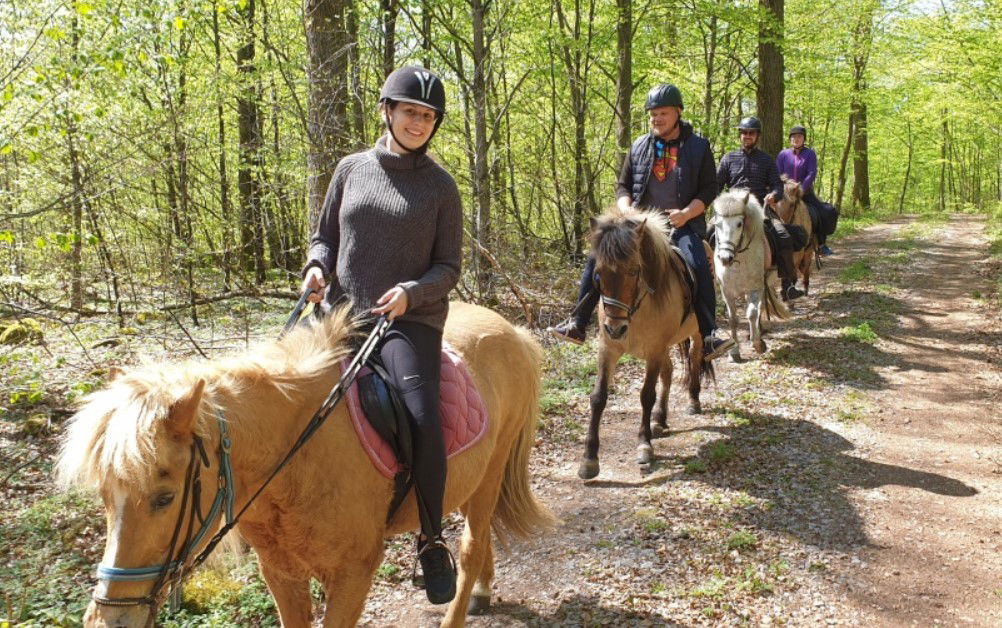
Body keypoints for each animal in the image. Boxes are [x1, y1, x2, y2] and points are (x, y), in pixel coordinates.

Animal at [56, 302, 557, 624]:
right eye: (106, 499)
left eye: (164, 498)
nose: (109, 620)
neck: (294, 460)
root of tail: (514, 332)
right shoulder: (280, 572)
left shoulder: (354, 573)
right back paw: (483, 593)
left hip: (491, 473)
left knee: (471, 546)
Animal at [581, 209, 713, 478]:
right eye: (598, 273)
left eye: (634, 271)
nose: (615, 328)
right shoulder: (608, 349)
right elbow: (598, 397)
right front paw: (589, 459)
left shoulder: (653, 351)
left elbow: (646, 395)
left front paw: (644, 445)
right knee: (669, 372)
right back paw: (660, 419)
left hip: (693, 334)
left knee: (694, 359)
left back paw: (693, 400)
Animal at [713, 189, 789, 360]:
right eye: (717, 224)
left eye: (739, 224)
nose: (725, 258)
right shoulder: (727, 291)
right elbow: (733, 319)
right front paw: (734, 351)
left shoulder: (755, 288)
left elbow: (752, 313)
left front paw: (758, 344)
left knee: (758, 309)